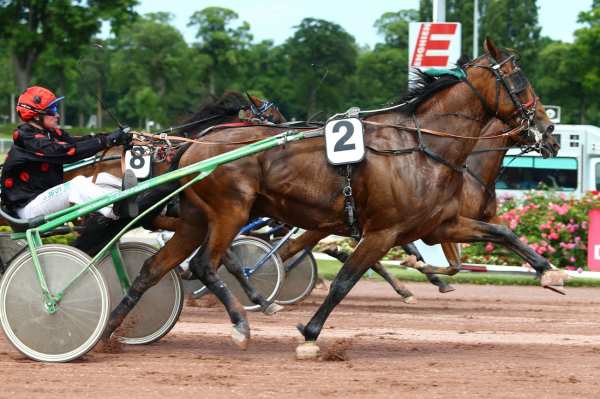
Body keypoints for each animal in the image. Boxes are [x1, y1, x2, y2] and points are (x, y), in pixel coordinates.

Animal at [99, 39, 568, 354]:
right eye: (519, 80)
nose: (550, 131)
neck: (420, 147)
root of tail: (193, 146)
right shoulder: (384, 231)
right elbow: (344, 281)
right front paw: (309, 335)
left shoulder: (440, 223)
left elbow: (502, 233)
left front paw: (550, 272)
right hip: (231, 211)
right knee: (206, 266)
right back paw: (242, 323)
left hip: (197, 219)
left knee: (153, 270)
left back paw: (108, 333)